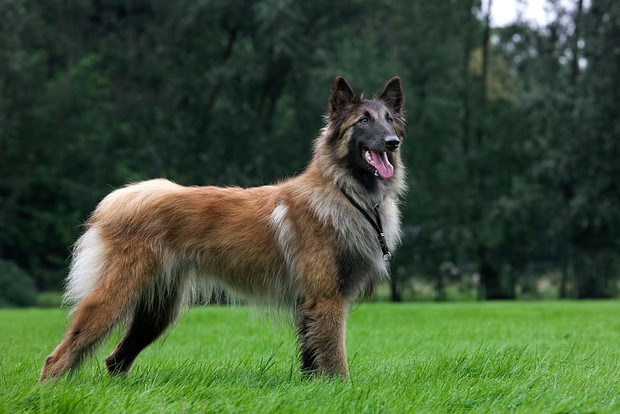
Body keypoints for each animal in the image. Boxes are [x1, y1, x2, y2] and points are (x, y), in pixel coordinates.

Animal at [40, 75, 406, 382]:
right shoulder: (326, 299)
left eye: (389, 119)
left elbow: (311, 358)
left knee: (115, 359)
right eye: (363, 121)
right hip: (116, 297)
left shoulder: (310, 305)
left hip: (157, 311)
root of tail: (125, 198)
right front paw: (341, 391)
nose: (392, 143)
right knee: (59, 356)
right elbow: (334, 359)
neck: (344, 192)